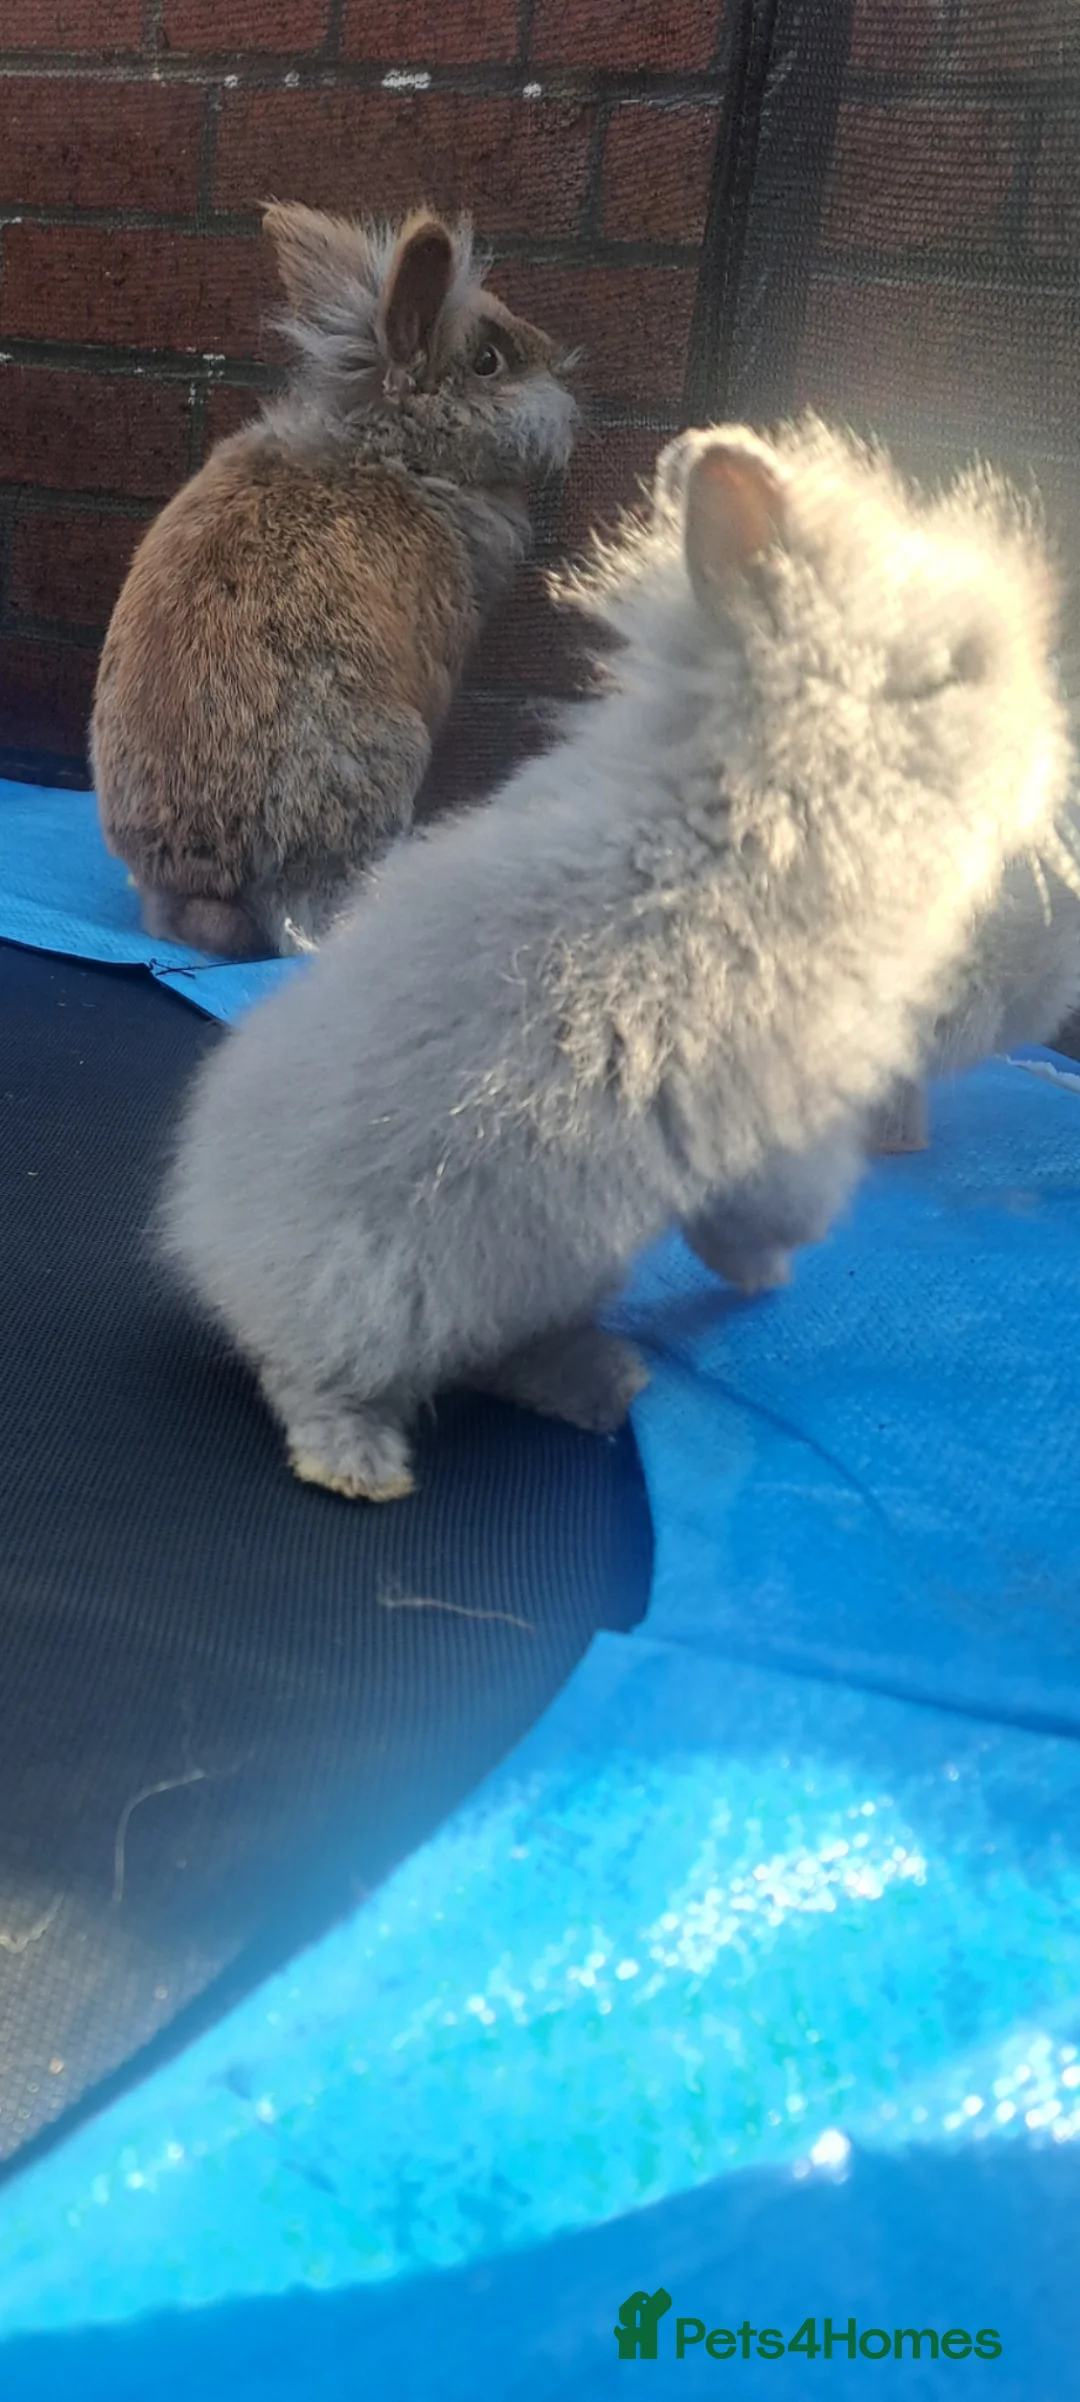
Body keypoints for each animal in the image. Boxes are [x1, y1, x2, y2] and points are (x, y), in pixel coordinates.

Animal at [159, 415, 1072, 1501]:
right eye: (955, 669)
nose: (1050, 752)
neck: (746, 809)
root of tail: (205, 1235)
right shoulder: (786, 1109)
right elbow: (785, 1205)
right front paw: (773, 1266)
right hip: (374, 1291)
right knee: (310, 1376)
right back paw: (362, 1466)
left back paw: (601, 1382)